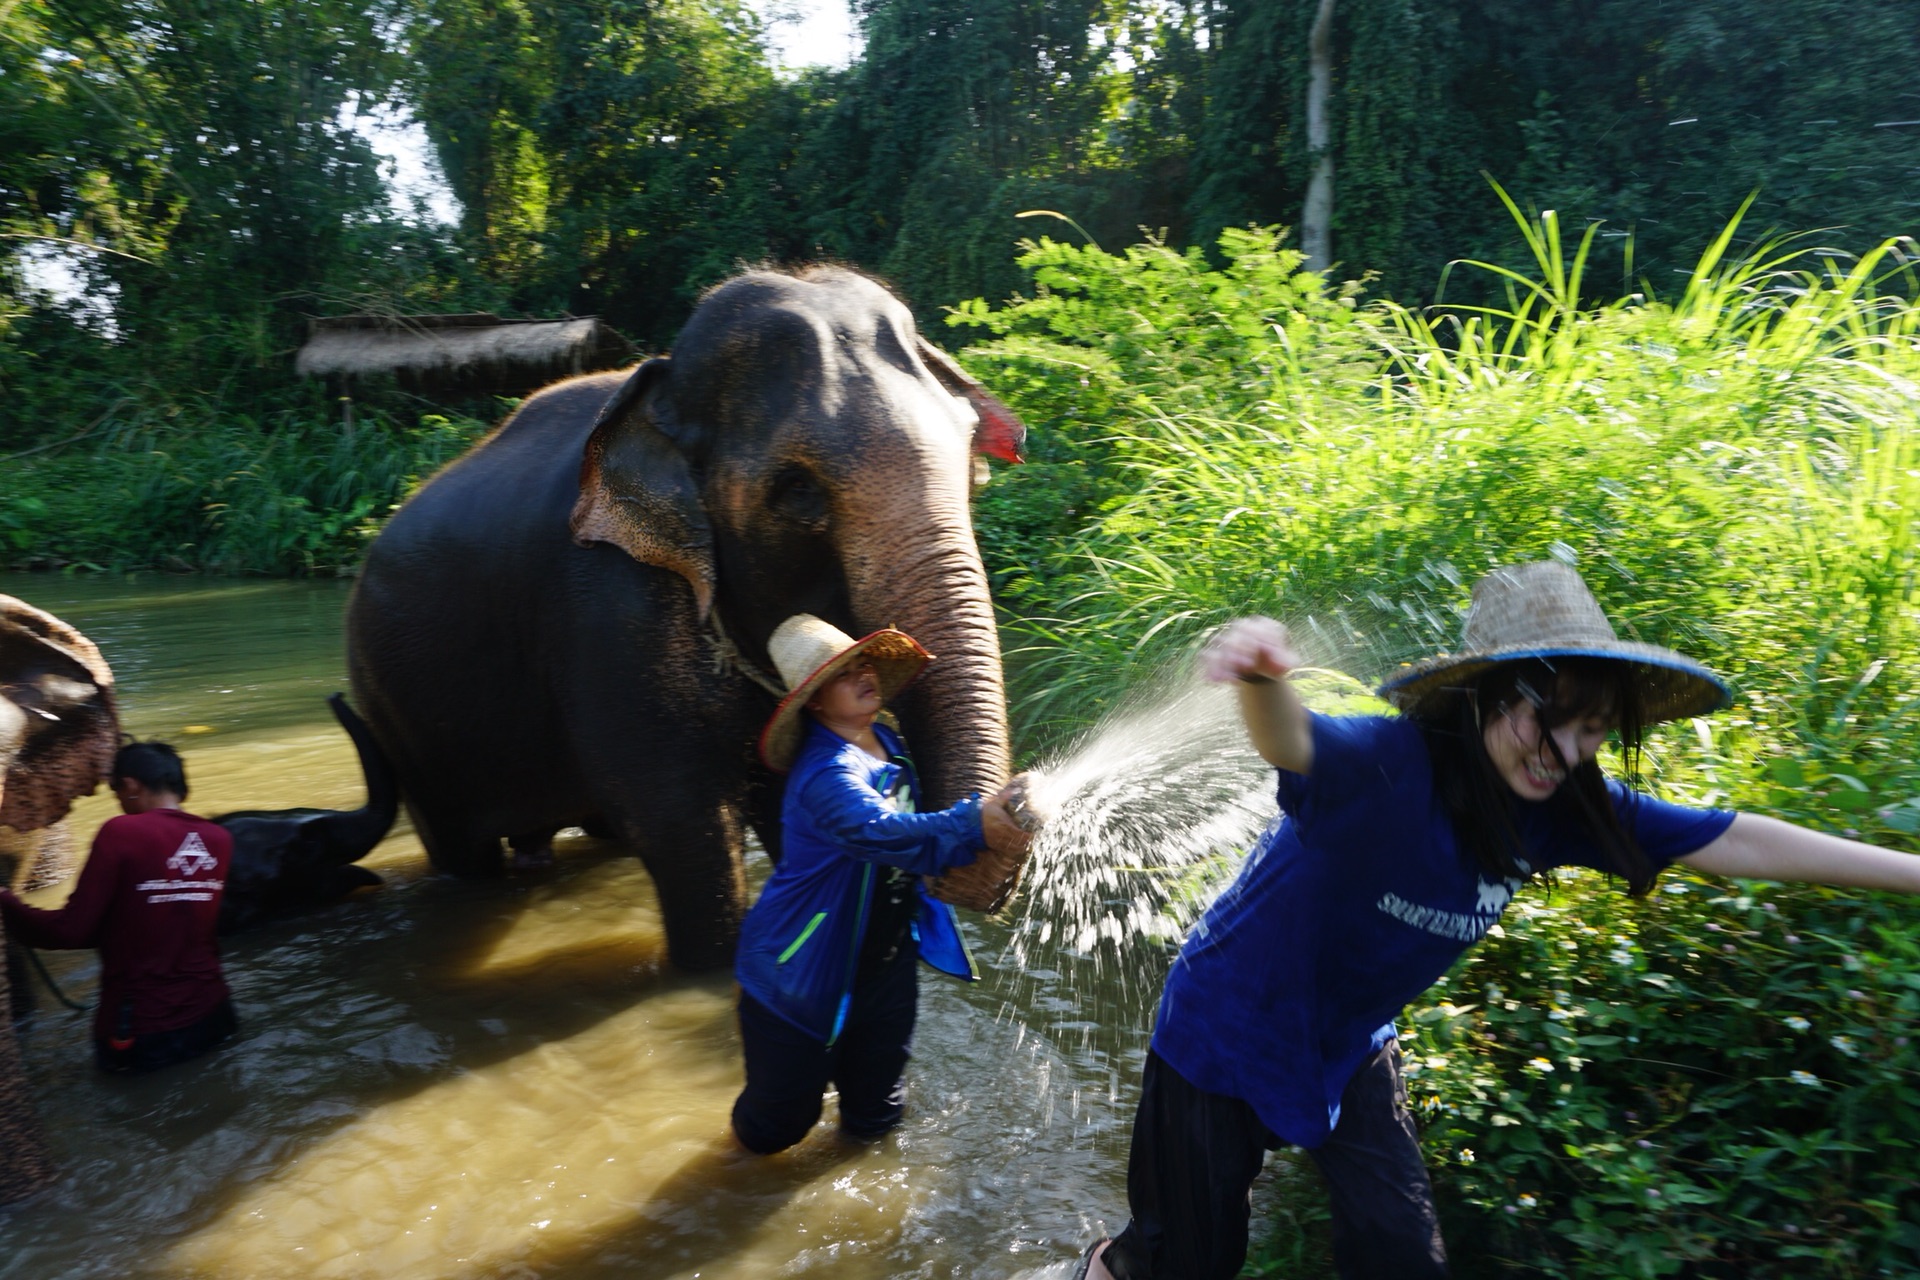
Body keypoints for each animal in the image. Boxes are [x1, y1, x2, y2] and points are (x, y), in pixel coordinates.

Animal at [351, 268, 1029, 971]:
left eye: (969, 466)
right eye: (797, 491)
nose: (1013, 808)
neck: (660, 388)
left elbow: (785, 805)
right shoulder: (607, 614)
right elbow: (682, 829)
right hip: (397, 716)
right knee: (462, 852)